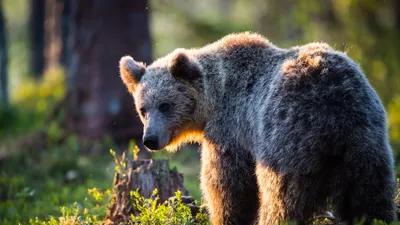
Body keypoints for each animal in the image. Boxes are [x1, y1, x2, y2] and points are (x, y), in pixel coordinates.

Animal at [117, 32, 396, 225]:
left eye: (165, 105)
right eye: (143, 109)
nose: (150, 139)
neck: (213, 100)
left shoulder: (231, 128)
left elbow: (228, 185)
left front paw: (223, 215)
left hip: (288, 139)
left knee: (282, 199)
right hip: (365, 142)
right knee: (369, 197)